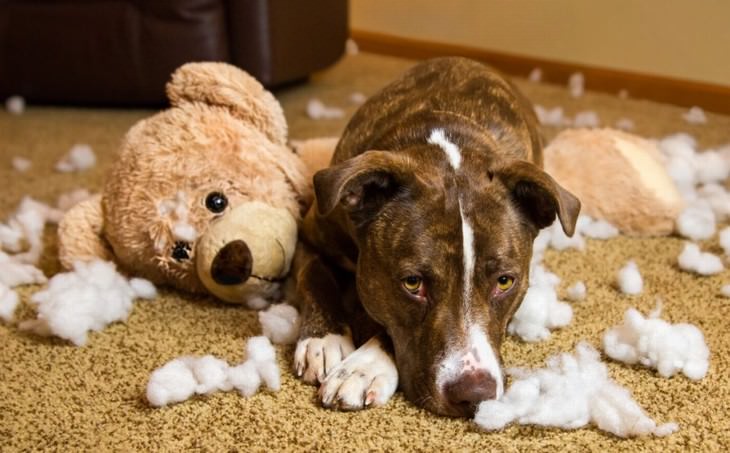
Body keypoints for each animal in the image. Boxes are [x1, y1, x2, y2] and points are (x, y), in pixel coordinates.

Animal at [292, 57, 576, 416]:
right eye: (412, 283)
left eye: (505, 282)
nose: (474, 393)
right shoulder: (310, 233)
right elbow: (313, 276)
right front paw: (323, 339)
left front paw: (363, 367)